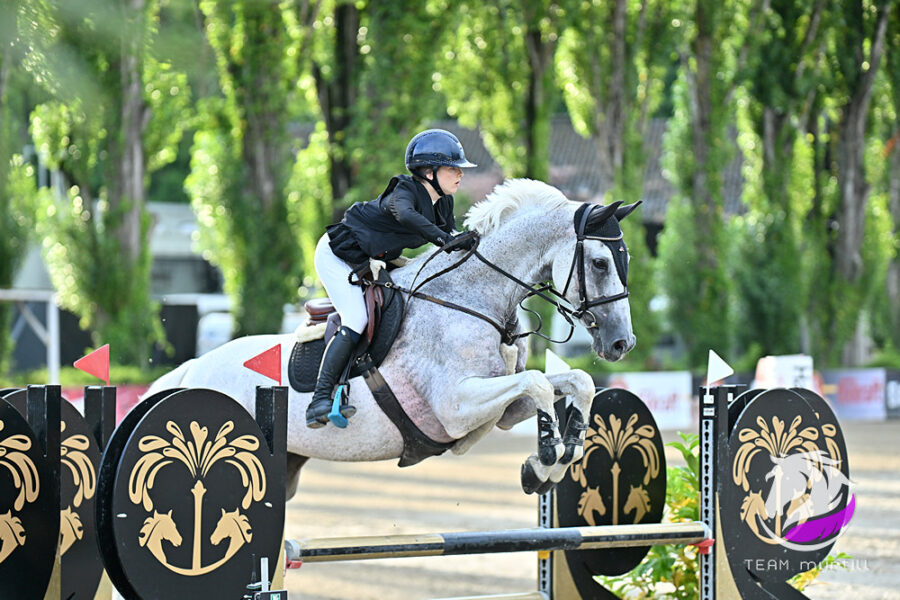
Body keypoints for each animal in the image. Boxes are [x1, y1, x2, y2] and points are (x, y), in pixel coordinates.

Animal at [146, 179, 640, 496]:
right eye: (600, 262)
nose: (622, 344)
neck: (474, 296)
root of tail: (191, 371)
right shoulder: (455, 407)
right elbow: (538, 382)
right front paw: (548, 457)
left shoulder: (501, 408)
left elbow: (576, 381)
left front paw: (562, 453)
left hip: (286, 463)